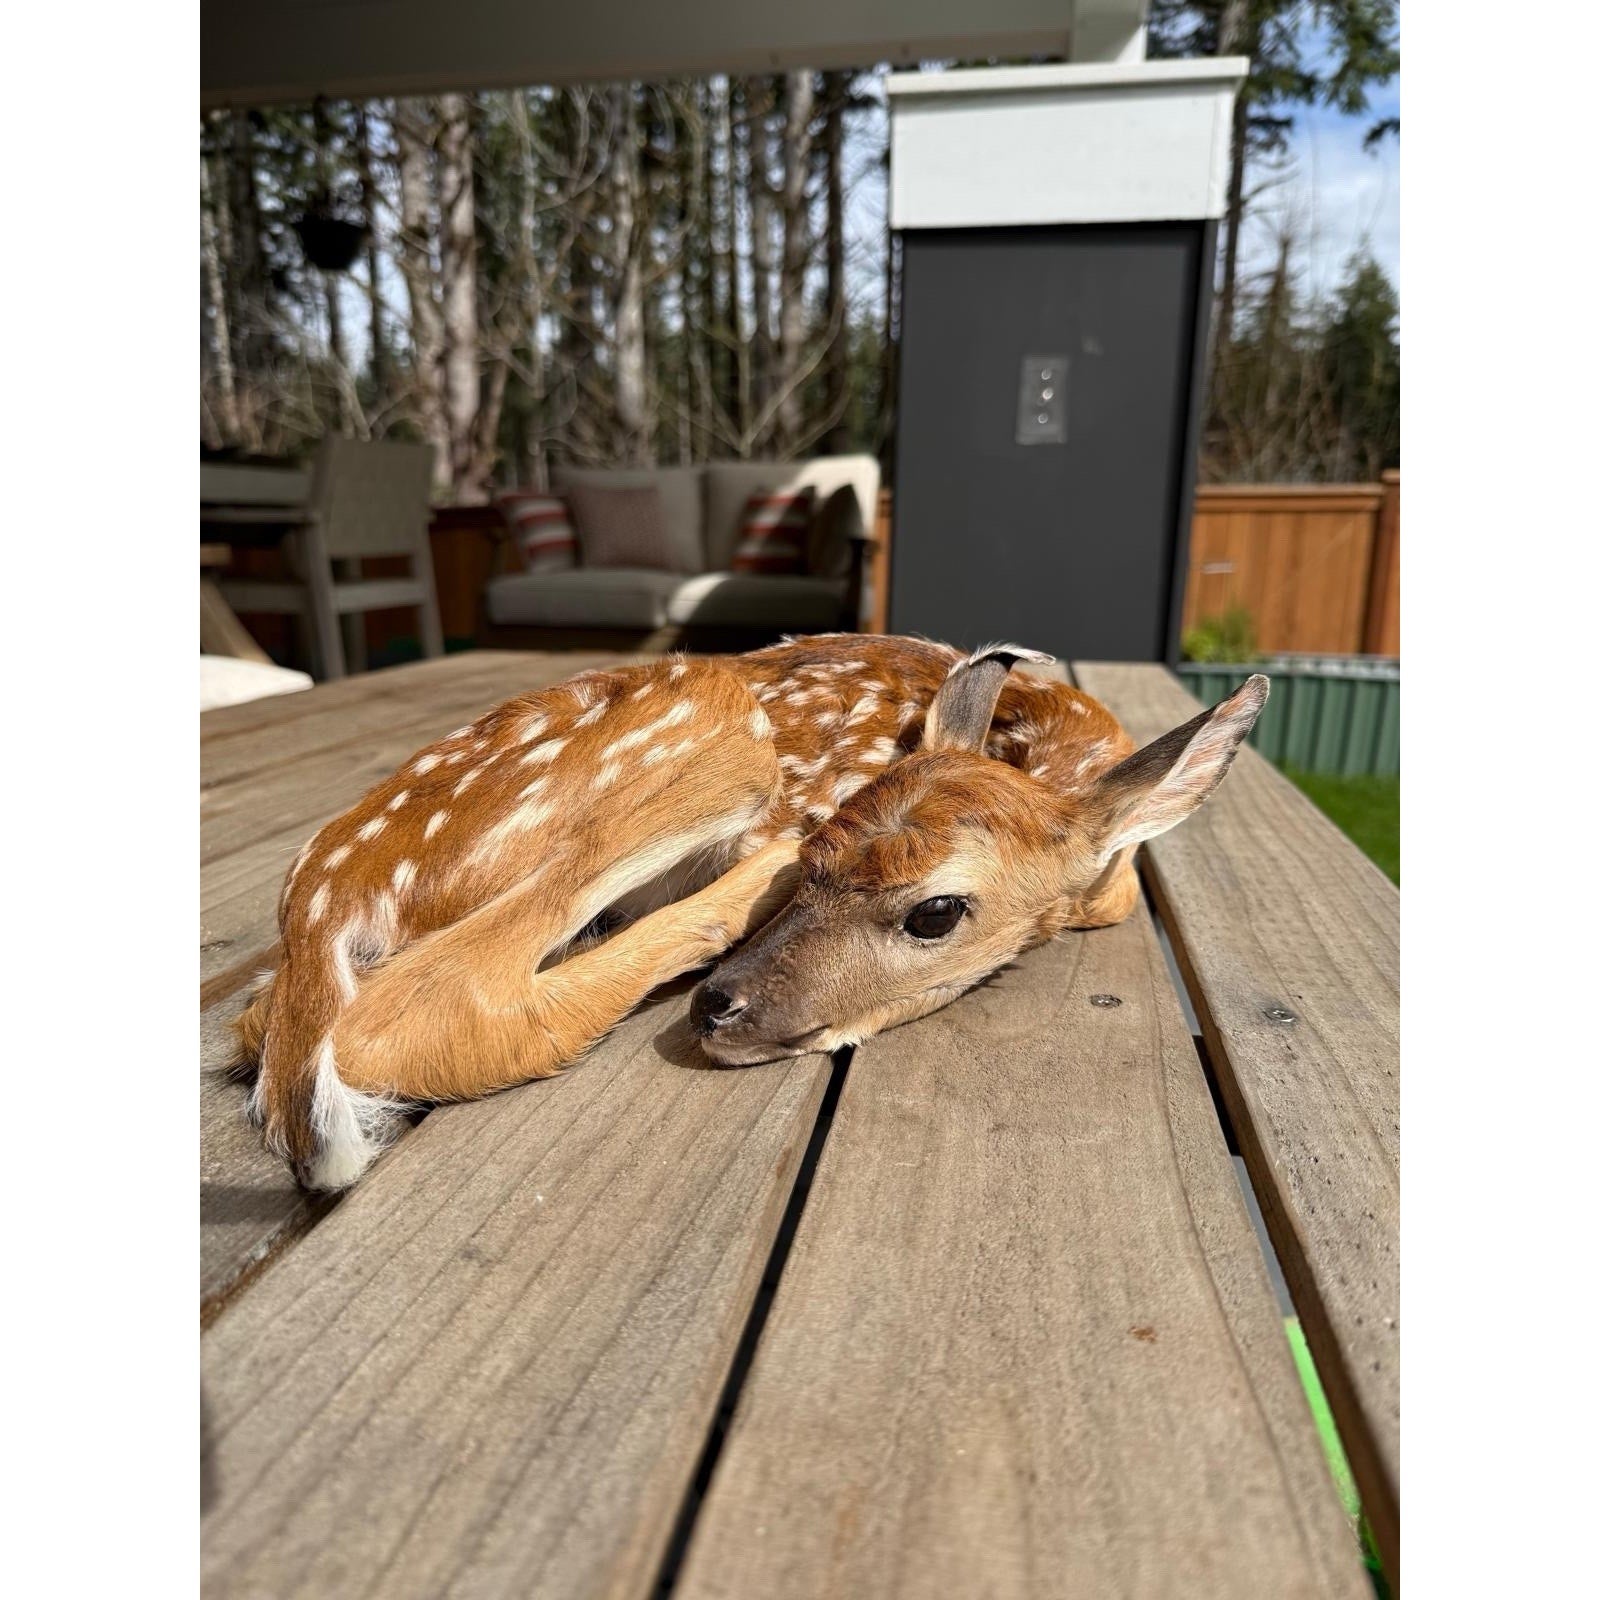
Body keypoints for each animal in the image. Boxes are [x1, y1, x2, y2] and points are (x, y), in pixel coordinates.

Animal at [236, 634, 1267, 1190]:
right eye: (818, 859)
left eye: (935, 914)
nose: (719, 1008)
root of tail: (319, 901)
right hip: (715, 716)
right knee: (434, 1002)